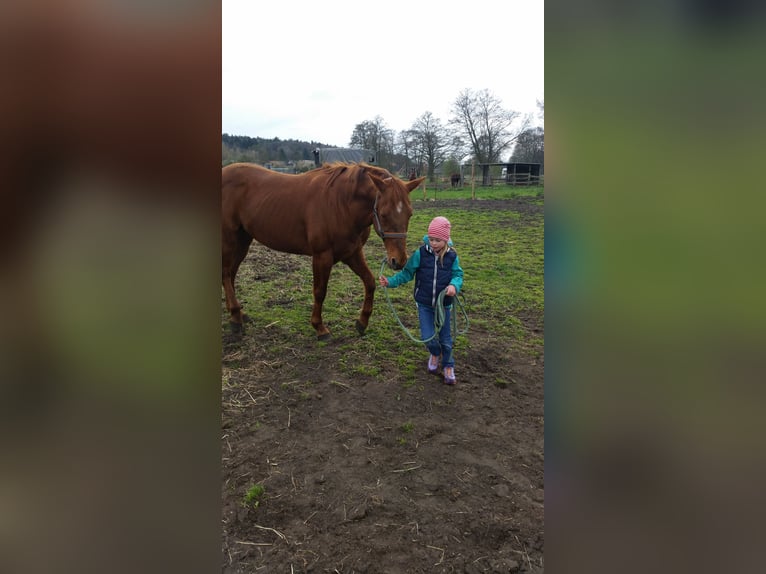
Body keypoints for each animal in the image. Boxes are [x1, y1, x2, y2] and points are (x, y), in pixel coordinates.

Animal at [222, 162, 428, 340]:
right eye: (384, 214)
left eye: (409, 213)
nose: (398, 261)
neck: (341, 203)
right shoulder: (322, 256)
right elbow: (320, 291)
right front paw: (319, 327)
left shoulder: (352, 253)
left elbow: (370, 282)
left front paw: (362, 322)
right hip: (229, 240)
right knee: (226, 274)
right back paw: (236, 318)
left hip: (243, 241)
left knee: (231, 274)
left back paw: (238, 313)